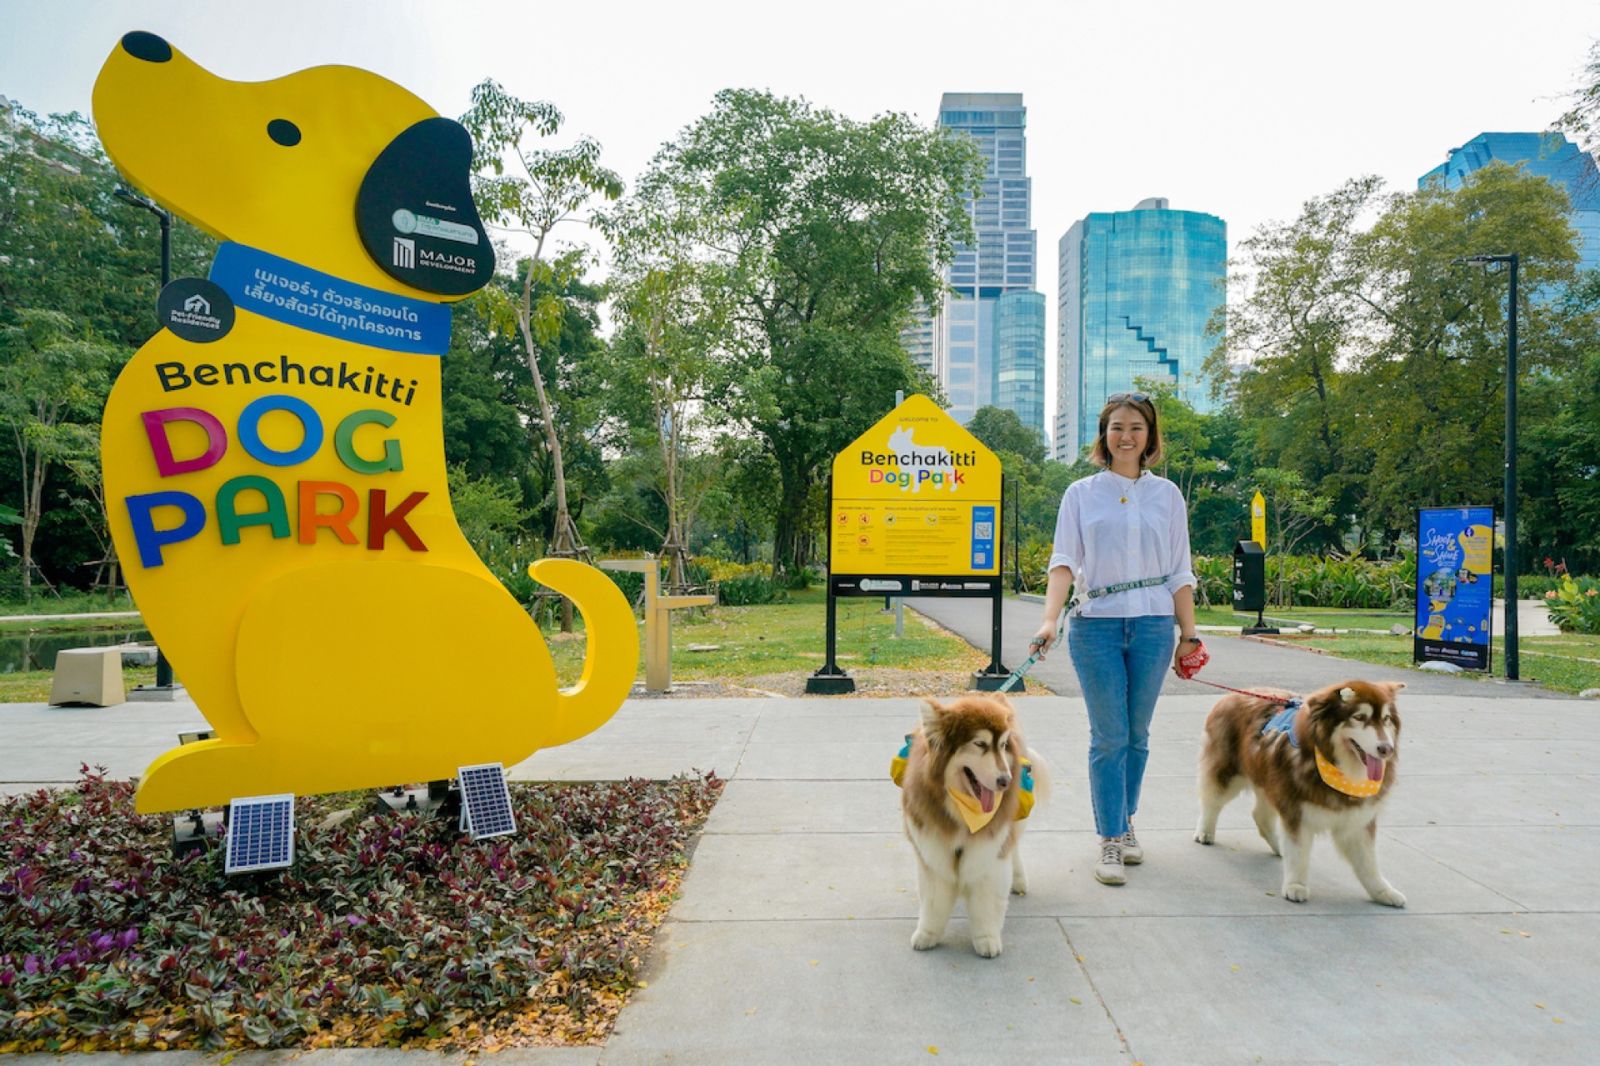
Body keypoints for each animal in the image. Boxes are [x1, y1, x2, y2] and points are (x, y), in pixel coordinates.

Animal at [896, 697, 1043, 953]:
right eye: (980, 744)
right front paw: (928, 934)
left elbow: (986, 899)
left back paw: (1019, 880)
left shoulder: (989, 851)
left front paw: (987, 938)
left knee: (1013, 846)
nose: (1006, 781)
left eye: (1003, 745)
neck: (963, 813)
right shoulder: (932, 848)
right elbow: (934, 899)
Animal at [1196, 675, 1408, 902]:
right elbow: (1299, 853)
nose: (1386, 749)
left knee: (1261, 815)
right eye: (1359, 717)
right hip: (1230, 774)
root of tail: (1234, 694)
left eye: (1386, 719)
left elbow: (1369, 863)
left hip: (1269, 781)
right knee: (1212, 801)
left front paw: (1382, 891)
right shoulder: (1297, 811)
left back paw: (1279, 846)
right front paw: (1295, 884)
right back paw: (1205, 832)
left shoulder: (1357, 820)